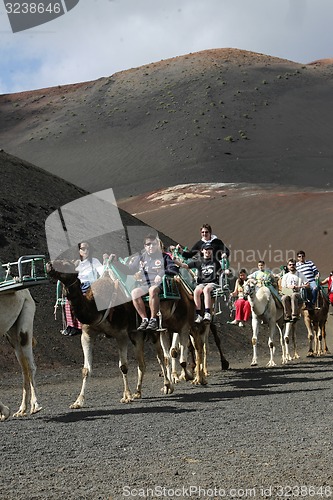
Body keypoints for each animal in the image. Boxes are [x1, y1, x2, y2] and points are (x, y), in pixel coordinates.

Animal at [0, 288, 42, 420]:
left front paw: (5, 412)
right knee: (24, 369)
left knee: (30, 366)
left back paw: (35, 406)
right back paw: (21, 410)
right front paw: (4, 413)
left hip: (26, 318)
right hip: (12, 336)